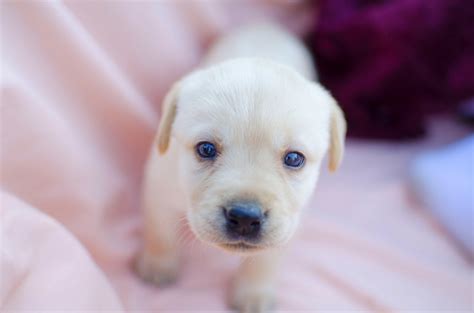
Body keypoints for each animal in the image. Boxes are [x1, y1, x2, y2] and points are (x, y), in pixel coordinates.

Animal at [135, 23, 346, 312]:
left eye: (294, 158)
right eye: (206, 149)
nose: (245, 217)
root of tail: (267, 26)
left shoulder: (292, 220)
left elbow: (265, 260)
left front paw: (253, 293)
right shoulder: (158, 187)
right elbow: (159, 233)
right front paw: (158, 265)